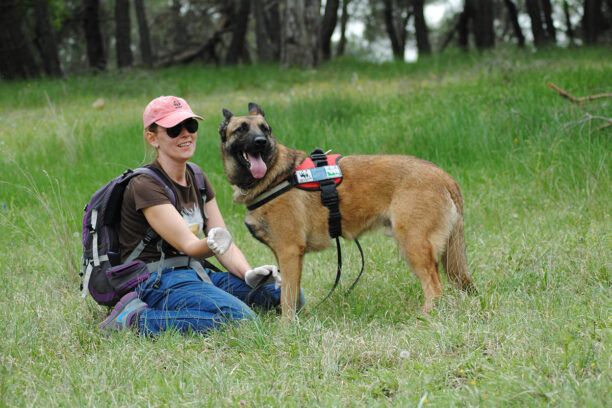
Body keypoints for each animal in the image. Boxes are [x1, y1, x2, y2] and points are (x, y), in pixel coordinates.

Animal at [218, 103, 476, 320]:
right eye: (241, 129)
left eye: (265, 129)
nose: (260, 141)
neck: (276, 176)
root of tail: (444, 176)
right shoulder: (285, 256)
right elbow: (289, 293)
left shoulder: (289, 252)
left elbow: (288, 299)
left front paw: (287, 328)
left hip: (413, 245)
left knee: (435, 287)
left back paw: (424, 316)